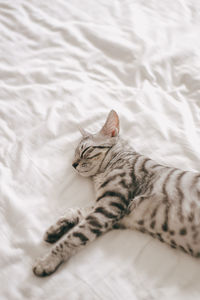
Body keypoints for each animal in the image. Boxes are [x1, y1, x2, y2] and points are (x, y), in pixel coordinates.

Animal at [33, 109, 200, 276]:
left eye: (85, 150)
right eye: (74, 154)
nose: (73, 164)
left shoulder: (110, 207)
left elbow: (75, 236)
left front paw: (47, 261)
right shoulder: (111, 210)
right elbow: (78, 211)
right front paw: (57, 229)